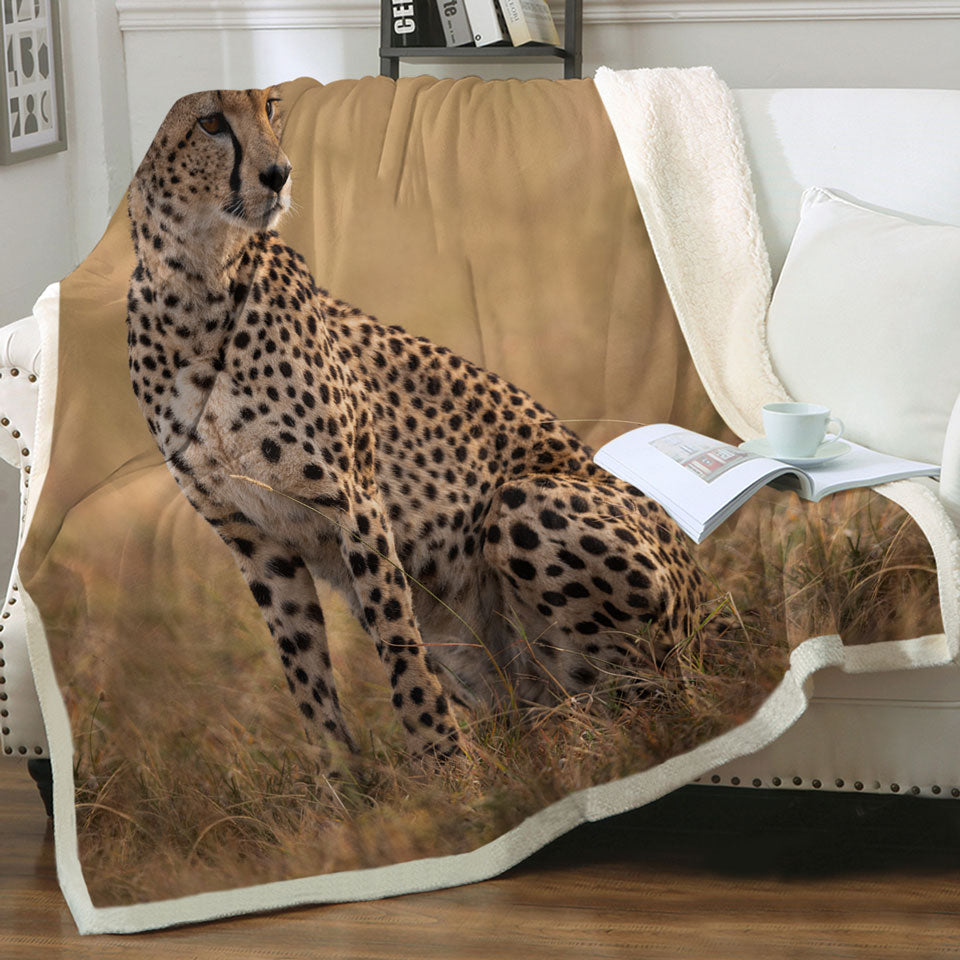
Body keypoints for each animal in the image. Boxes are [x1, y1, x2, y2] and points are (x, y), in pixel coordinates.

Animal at [125, 86, 722, 761]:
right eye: (209, 122)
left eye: (271, 106)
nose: (278, 173)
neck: (196, 283)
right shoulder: (255, 540)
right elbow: (305, 676)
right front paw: (340, 784)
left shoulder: (352, 501)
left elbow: (398, 643)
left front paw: (441, 764)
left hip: (530, 507)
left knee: (654, 700)